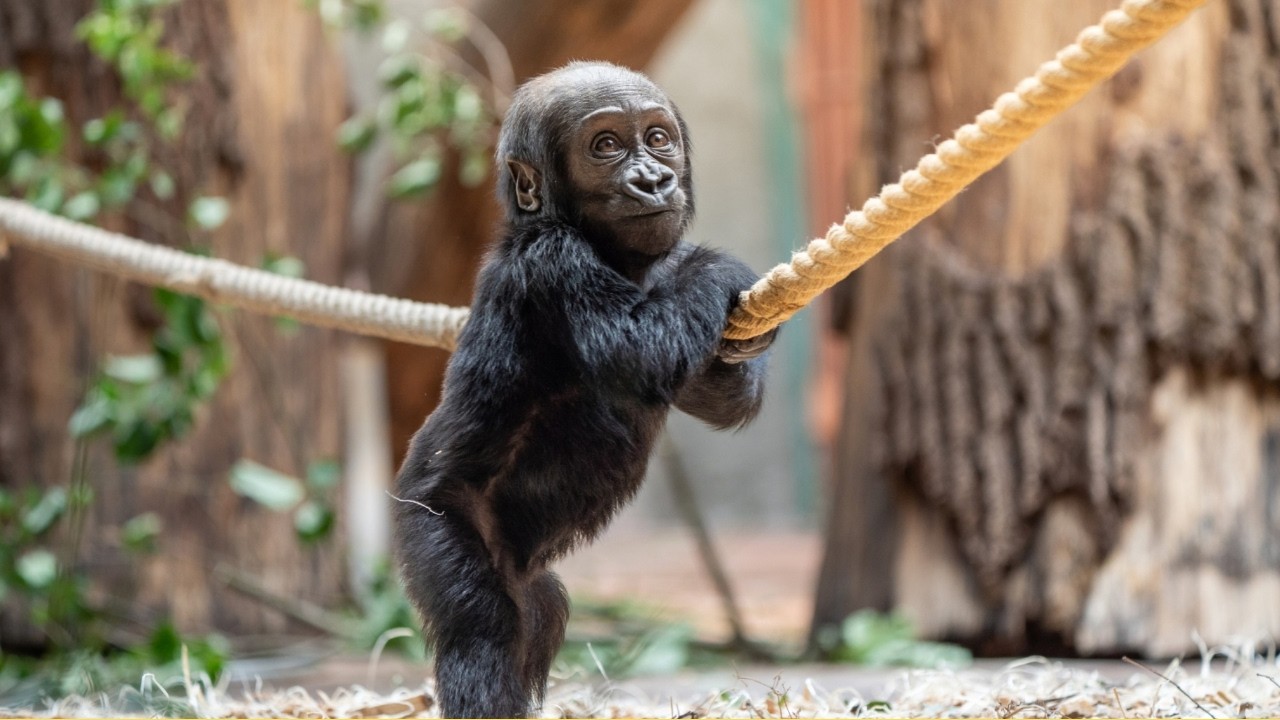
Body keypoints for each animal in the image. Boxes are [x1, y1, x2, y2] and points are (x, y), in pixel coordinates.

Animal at [393, 61, 777, 718]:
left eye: (656, 137)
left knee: (540, 614)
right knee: (484, 625)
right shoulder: (554, 263)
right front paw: (717, 269)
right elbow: (639, 346)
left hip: (526, 572)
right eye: (605, 146)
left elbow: (700, 386)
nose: (653, 179)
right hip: (429, 520)